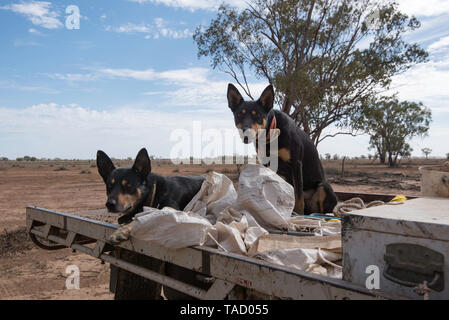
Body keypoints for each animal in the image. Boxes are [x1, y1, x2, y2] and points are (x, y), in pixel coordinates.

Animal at [228, 84, 336, 214]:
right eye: (239, 115)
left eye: (257, 115)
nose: (246, 135)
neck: (270, 136)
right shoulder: (267, 165)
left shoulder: (296, 164)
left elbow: (298, 197)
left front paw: (298, 215)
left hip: (323, 187)